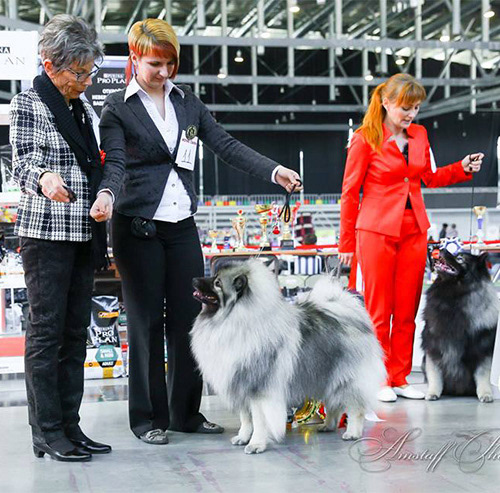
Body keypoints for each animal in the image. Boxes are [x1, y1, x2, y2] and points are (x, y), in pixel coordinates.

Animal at [190, 260, 386, 454]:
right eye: (213, 277)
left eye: (217, 283)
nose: (194, 279)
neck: (233, 320)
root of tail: (350, 313)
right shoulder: (241, 386)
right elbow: (245, 419)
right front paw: (243, 437)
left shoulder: (258, 390)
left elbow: (259, 421)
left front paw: (256, 444)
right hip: (327, 376)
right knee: (333, 404)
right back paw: (328, 425)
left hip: (347, 379)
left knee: (355, 407)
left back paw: (352, 432)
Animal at [422, 249, 499, 402]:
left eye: (460, 259)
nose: (442, 250)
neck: (453, 299)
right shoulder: (433, 346)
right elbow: (434, 374)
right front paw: (432, 392)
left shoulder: (484, 351)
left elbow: (483, 376)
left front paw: (485, 394)